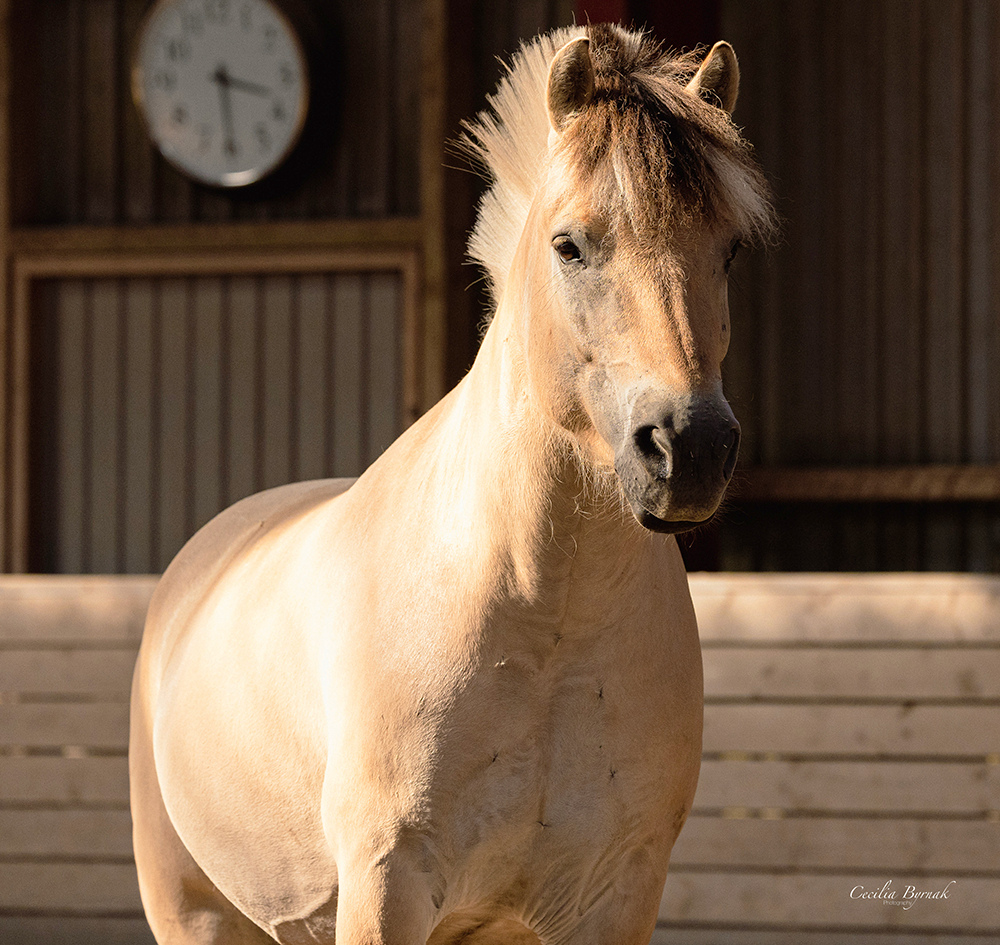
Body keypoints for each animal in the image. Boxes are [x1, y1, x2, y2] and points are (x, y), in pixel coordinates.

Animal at [129, 22, 776, 944]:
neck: (543, 623)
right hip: (194, 913)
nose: (689, 446)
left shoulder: (617, 892)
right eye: (570, 245)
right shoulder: (386, 880)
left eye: (729, 250)